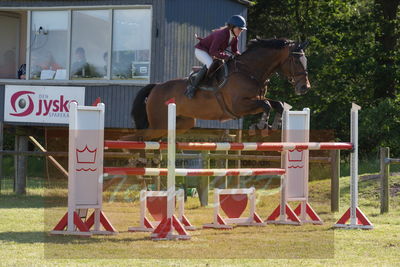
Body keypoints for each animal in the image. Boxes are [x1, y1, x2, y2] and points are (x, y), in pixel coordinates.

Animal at [125, 38, 310, 142]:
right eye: (296, 60)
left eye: (305, 60)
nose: (305, 87)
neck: (249, 71)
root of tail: (156, 86)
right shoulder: (238, 106)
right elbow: (266, 105)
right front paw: (260, 126)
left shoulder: (254, 99)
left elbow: (277, 104)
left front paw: (273, 125)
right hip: (159, 125)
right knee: (132, 138)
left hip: (182, 122)